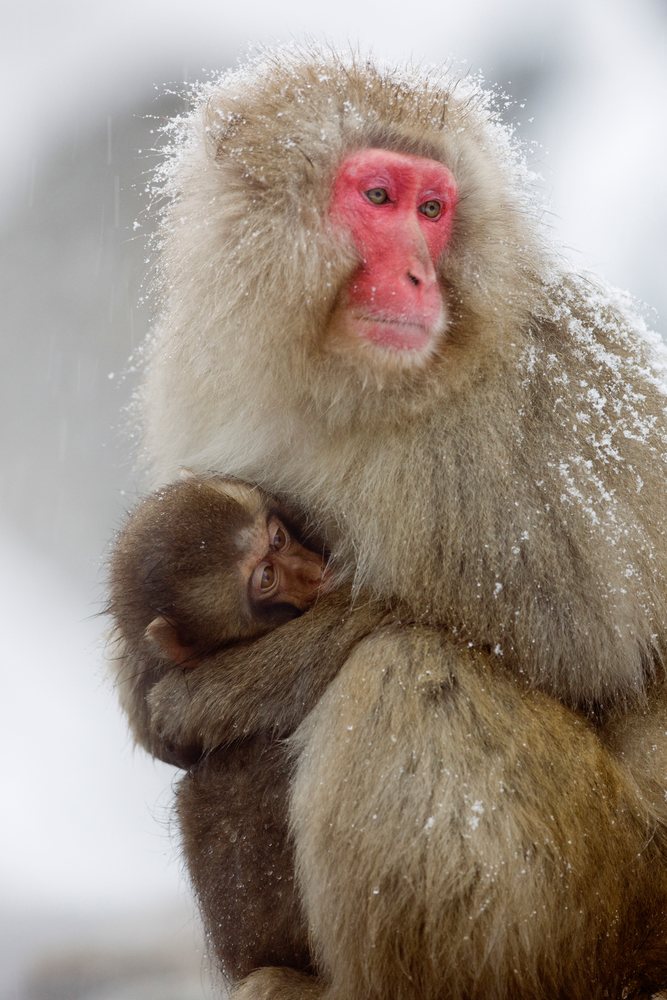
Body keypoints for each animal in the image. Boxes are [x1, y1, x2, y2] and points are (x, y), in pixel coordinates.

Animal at [116, 50, 667, 997]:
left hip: (608, 905)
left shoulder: (518, 434)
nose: (417, 276)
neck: (359, 388)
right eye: (379, 197)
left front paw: (198, 699)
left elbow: (575, 650)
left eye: (432, 211)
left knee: (407, 677)